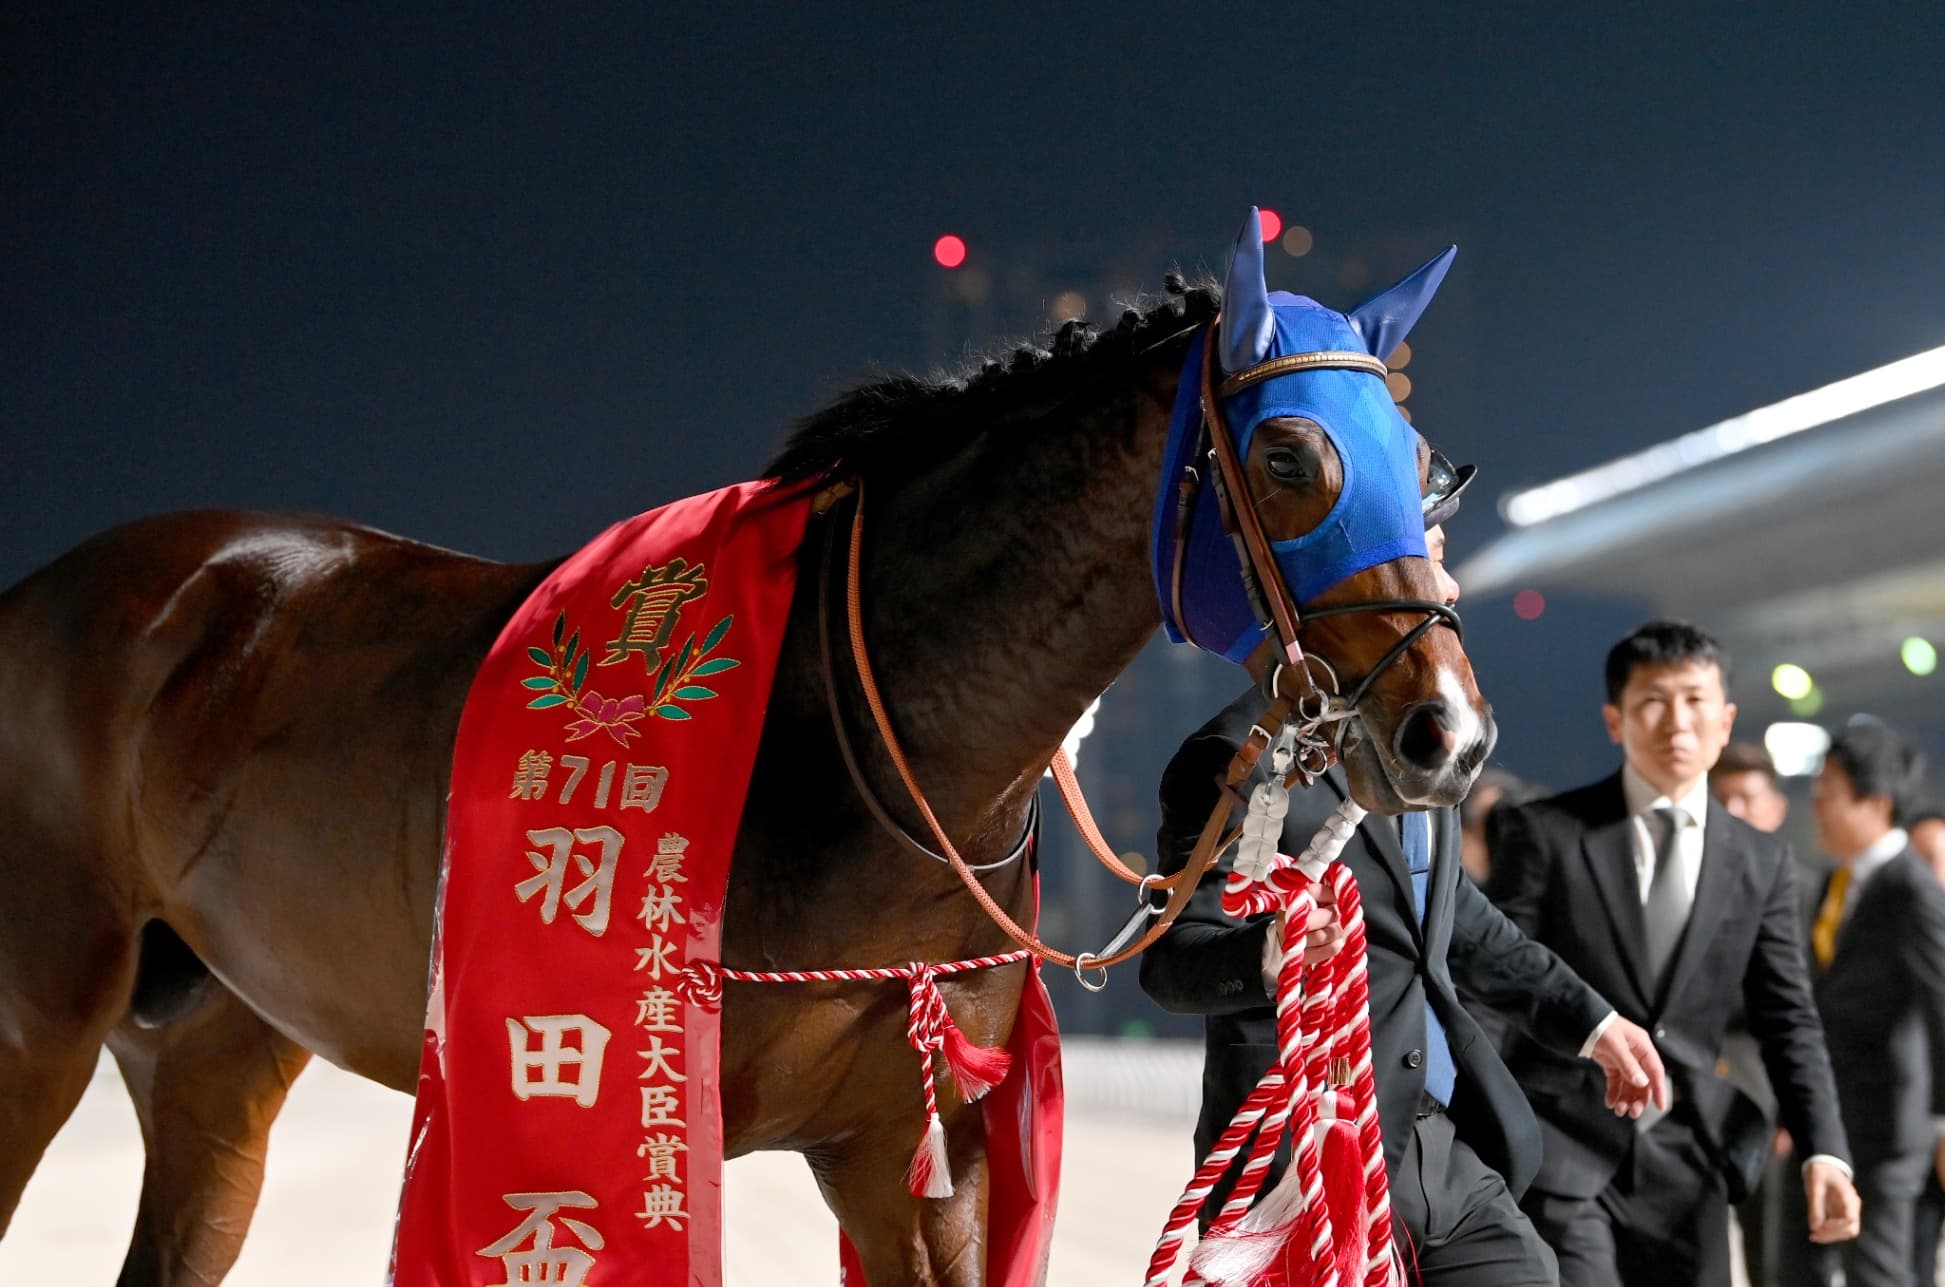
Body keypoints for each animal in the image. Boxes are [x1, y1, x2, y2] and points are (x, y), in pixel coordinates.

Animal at [0, 219, 1493, 1285]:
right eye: (1290, 456)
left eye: (1426, 457)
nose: (1447, 732)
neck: (872, 740)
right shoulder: (645, 1107)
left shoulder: (915, 1145)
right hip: (41, 1010)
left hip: (218, 1037)